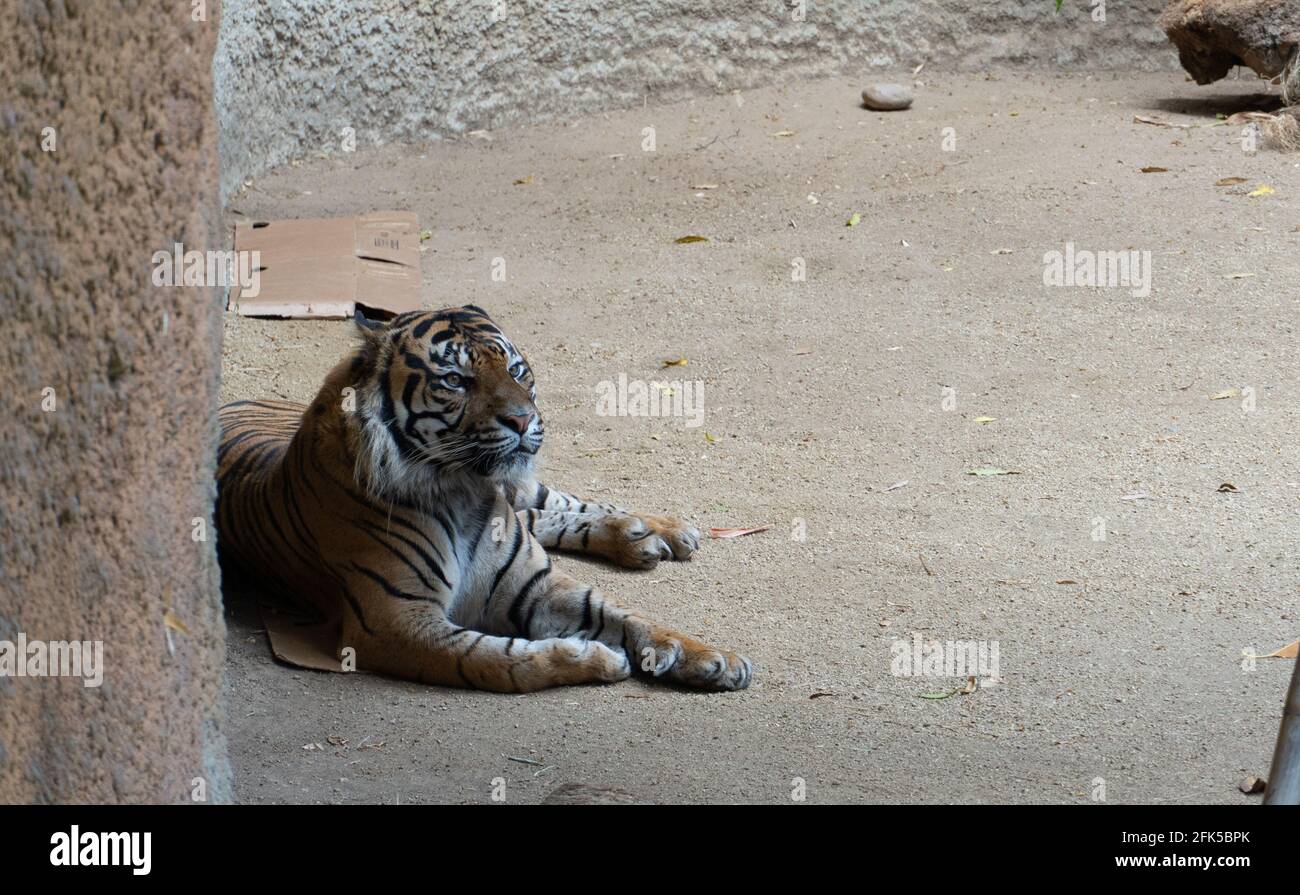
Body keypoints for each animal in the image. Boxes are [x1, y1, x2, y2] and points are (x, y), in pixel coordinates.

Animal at [215, 305, 754, 692]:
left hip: (526, 486)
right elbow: (500, 660)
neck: (462, 490)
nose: (523, 419)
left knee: (554, 504)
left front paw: (713, 659)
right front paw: (595, 658)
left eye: (516, 369)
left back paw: (658, 531)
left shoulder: (536, 584)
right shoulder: (394, 622)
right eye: (454, 380)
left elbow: (626, 615)